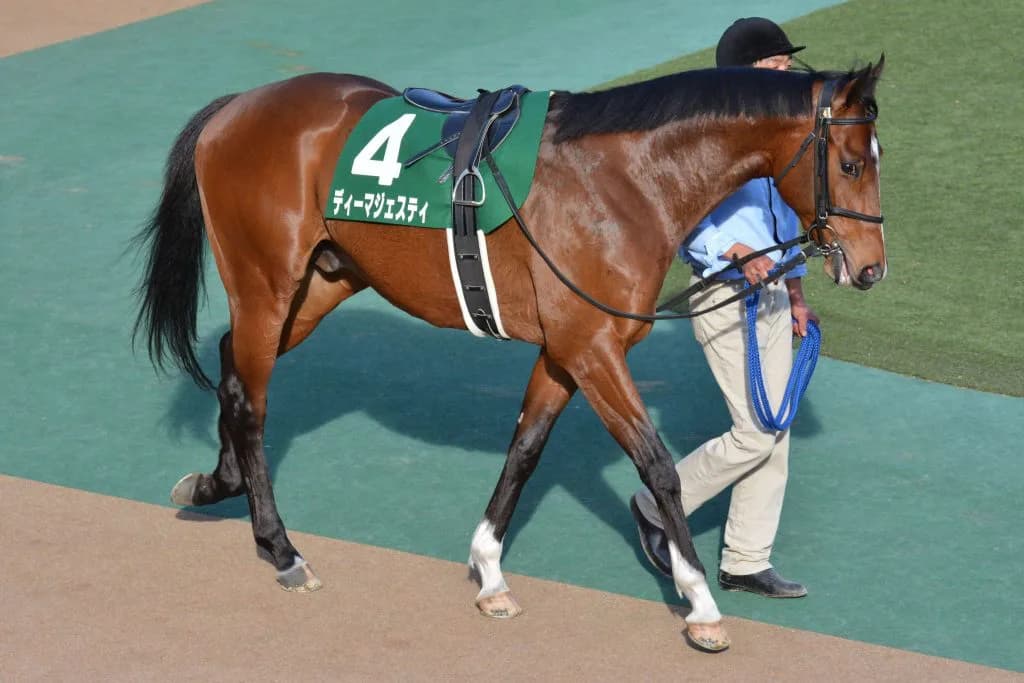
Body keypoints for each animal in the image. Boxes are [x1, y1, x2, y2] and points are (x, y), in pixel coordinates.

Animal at [134, 58, 886, 652]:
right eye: (851, 163)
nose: (873, 268)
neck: (624, 180)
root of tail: (237, 106)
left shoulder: (564, 351)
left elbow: (525, 450)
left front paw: (489, 570)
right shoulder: (592, 346)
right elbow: (658, 466)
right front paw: (699, 601)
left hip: (320, 284)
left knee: (232, 367)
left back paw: (217, 483)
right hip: (267, 284)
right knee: (251, 400)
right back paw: (281, 546)